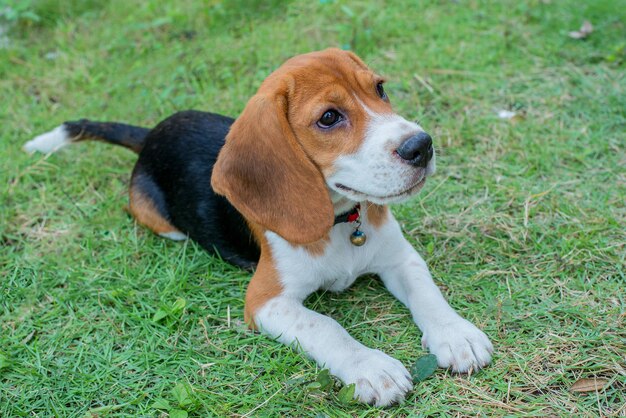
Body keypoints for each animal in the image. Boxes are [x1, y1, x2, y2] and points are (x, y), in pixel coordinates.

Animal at [25, 48, 492, 404]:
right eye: (328, 118)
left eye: (379, 88)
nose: (421, 146)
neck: (340, 223)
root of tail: (152, 133)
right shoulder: (267, 302)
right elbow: (326, 328)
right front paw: (371, 367)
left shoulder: (399, 258)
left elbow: (426, 292)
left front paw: (456, 335)